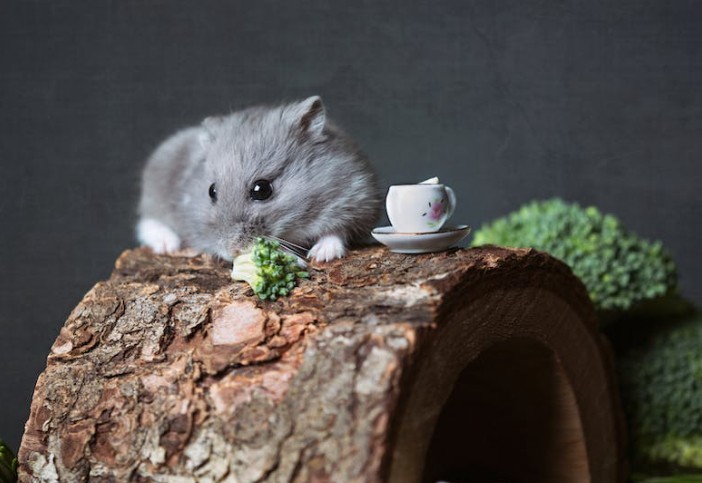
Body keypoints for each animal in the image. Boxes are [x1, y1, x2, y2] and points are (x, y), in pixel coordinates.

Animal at [136, 96, 381, 262]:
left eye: (261, 190)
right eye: (211, 191)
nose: (232, 251)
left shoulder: (356, 199)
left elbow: (336, 232)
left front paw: (320, 256)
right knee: (149, 222)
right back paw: (167, 245)